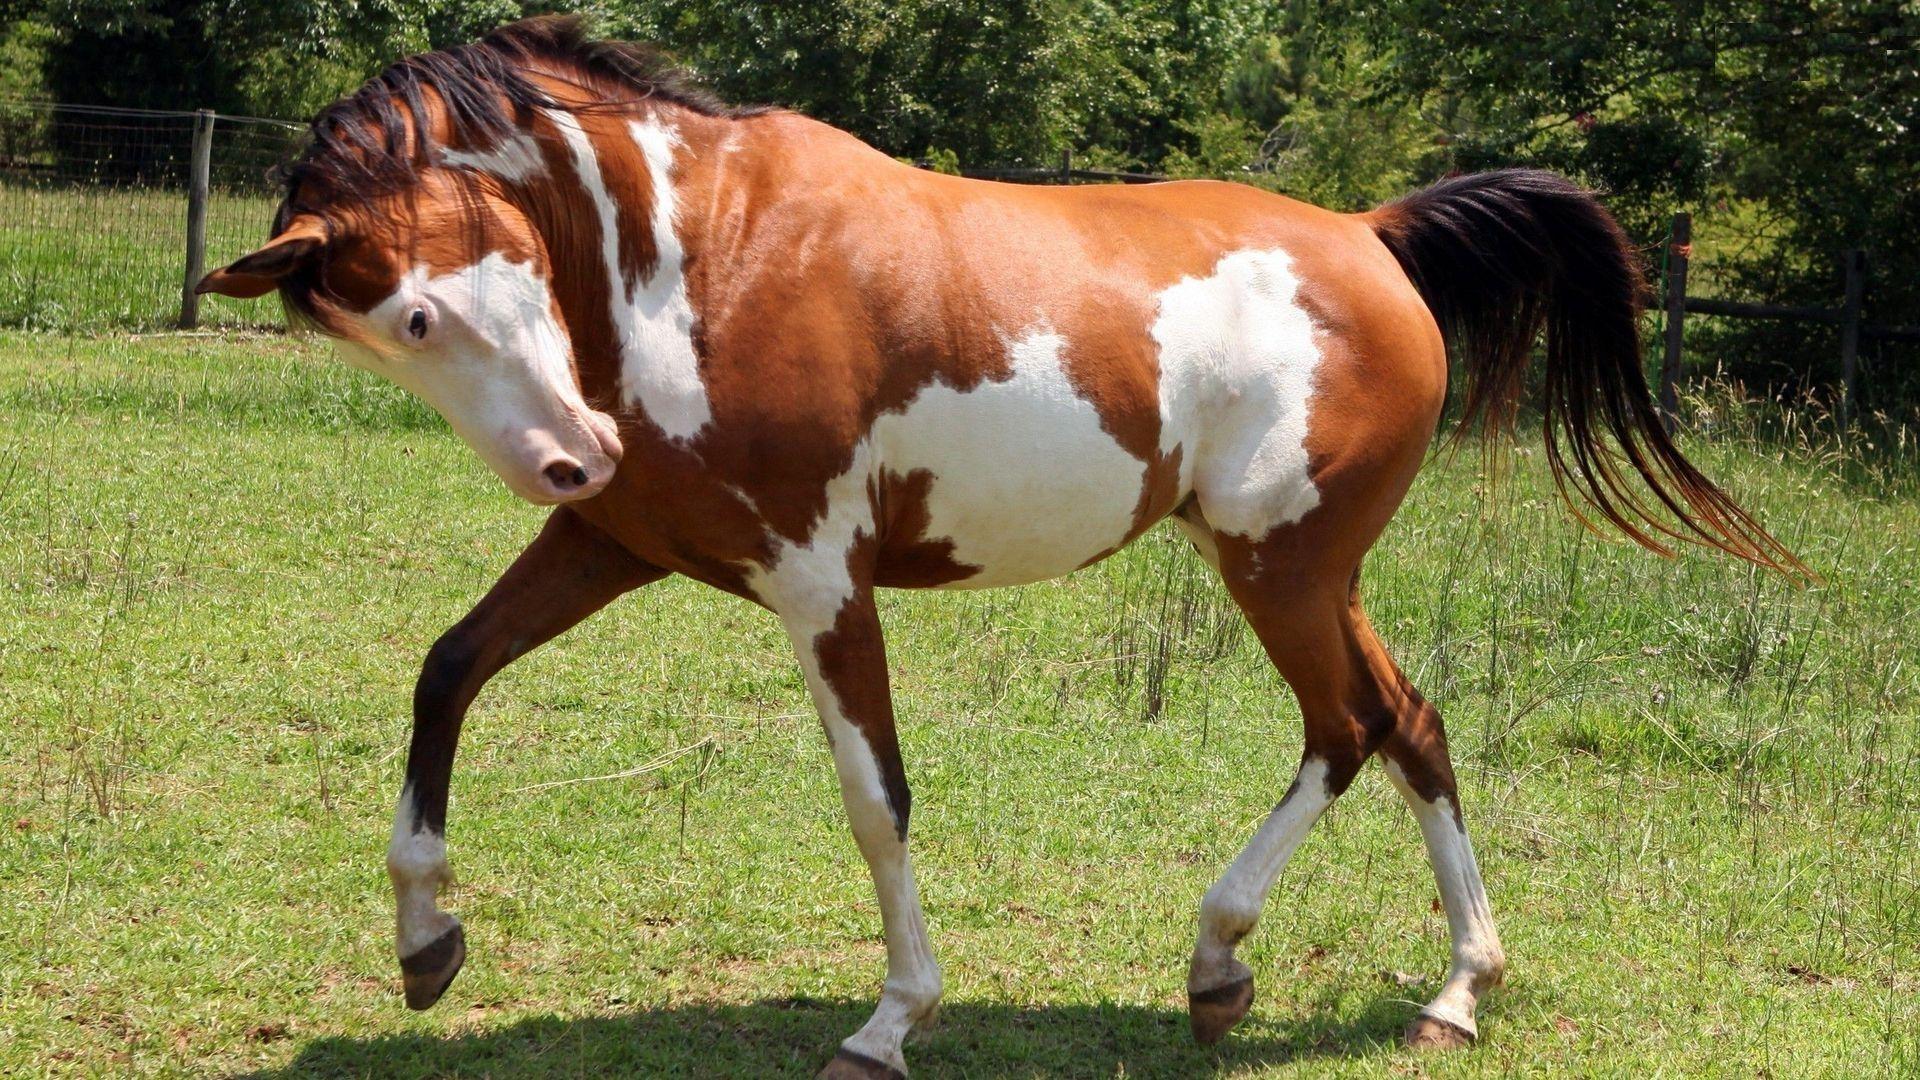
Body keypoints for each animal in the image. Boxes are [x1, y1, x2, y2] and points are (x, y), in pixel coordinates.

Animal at [197, 17, 1802, 1078]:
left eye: (436, 305)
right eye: (391, 331)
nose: (567, 454)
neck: (699, 261)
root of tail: (1372, 232)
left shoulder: (816, 579)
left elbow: (876, 801)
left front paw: (891, 1021)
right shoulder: (612, 544)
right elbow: (447, 671)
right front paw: (425, 943)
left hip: (1279, 567)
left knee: (1347, 728)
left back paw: (1221, 960)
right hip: (1310, 568)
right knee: (1411, 724)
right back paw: (1453, 989)